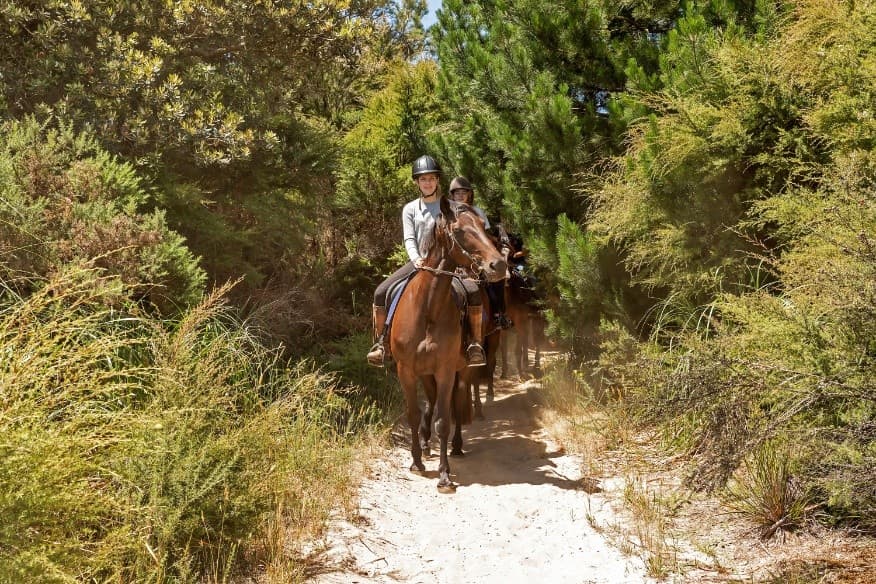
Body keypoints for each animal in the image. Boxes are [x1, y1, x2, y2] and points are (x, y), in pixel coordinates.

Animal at [389, 196, 507, 492]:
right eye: (460, 231)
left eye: (483, 227)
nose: (498, 265)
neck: (428, 309)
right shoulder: (406, 371)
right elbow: (413, 414)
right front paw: (417, 461)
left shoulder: (444, 370)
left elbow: (444, 419)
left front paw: (444, 475)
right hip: (426, 374)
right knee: (432, 403)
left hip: (460, 370)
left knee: (456, 402)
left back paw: (456, 446)